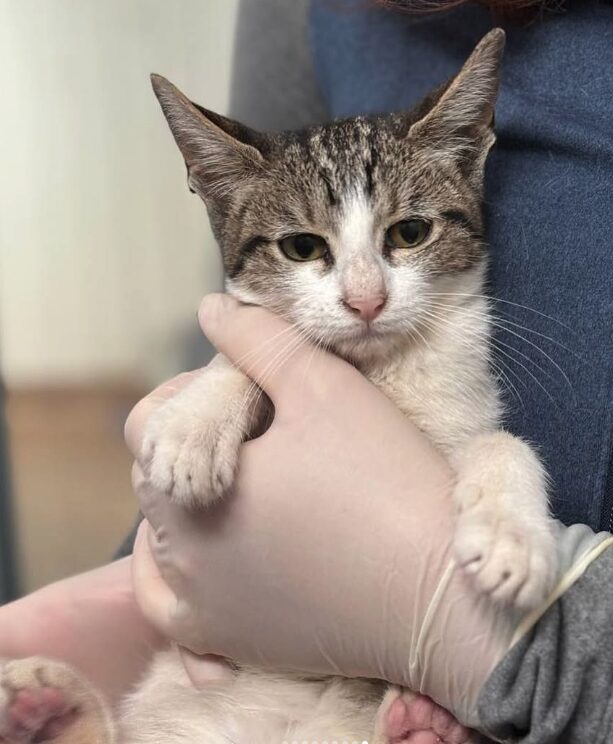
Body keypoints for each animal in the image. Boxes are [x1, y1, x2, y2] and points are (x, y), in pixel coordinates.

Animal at [0, 29, 556, 744]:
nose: (366, 300)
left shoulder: (464, 413)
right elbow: (255, 350)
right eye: (301, 247)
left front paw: (514, 535)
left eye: (410, 232)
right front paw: (195, 426)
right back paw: (47, 706)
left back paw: (419, 720)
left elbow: (504, 443)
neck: (375, 375)